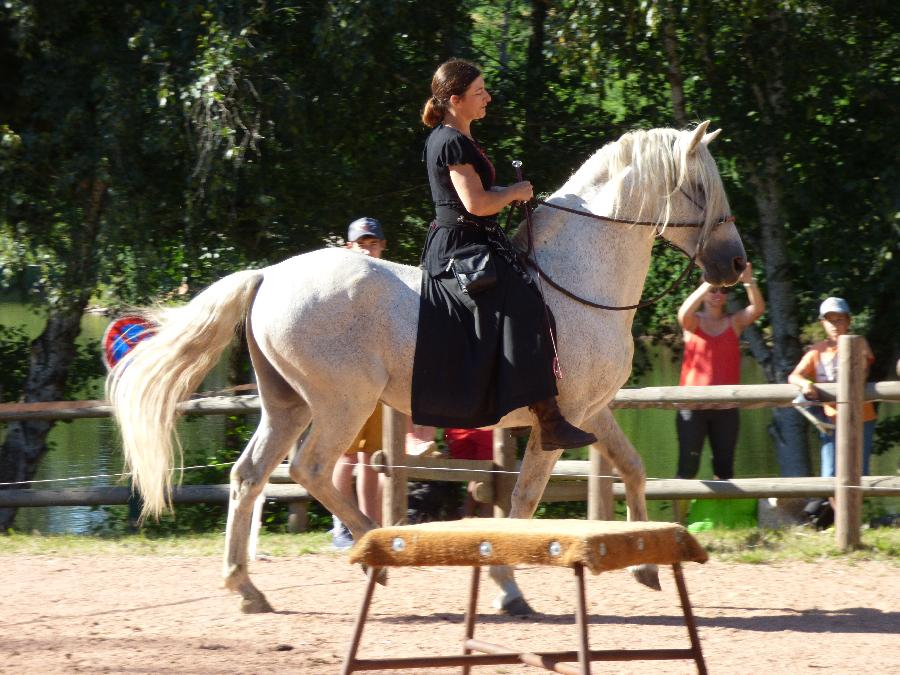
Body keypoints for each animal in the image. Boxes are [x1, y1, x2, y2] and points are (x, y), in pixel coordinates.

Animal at [109, 120, 744, 612]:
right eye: (699, 188)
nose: (735, 266)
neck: (573, 281)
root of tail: (267, 276)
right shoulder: (557, 422)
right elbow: (522, 504)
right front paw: (508, 588)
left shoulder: (591, 411)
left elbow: (633, 468)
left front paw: (646, 568)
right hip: (342, 405)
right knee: (311, 470)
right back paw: (377, 551)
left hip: (286, 406)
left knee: (249, 476)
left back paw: (247, 587)